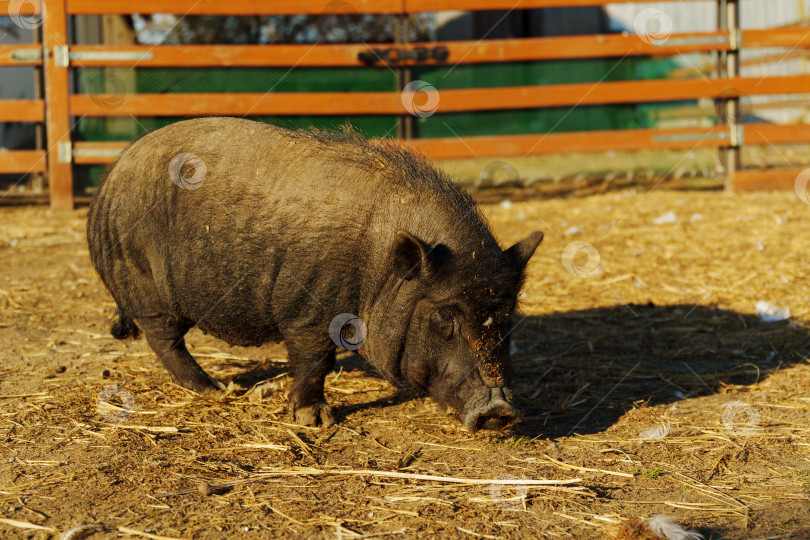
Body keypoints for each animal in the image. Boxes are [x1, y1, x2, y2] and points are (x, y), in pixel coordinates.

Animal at [86, 117, 543, 431]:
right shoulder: (308, 310)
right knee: (165, 340)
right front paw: (315, 421)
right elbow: (315, 360)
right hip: (144, 284)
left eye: (507, 317)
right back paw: (216, 390)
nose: (500, 410)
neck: (379, 265)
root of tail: (110, 176)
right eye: (445, 318)